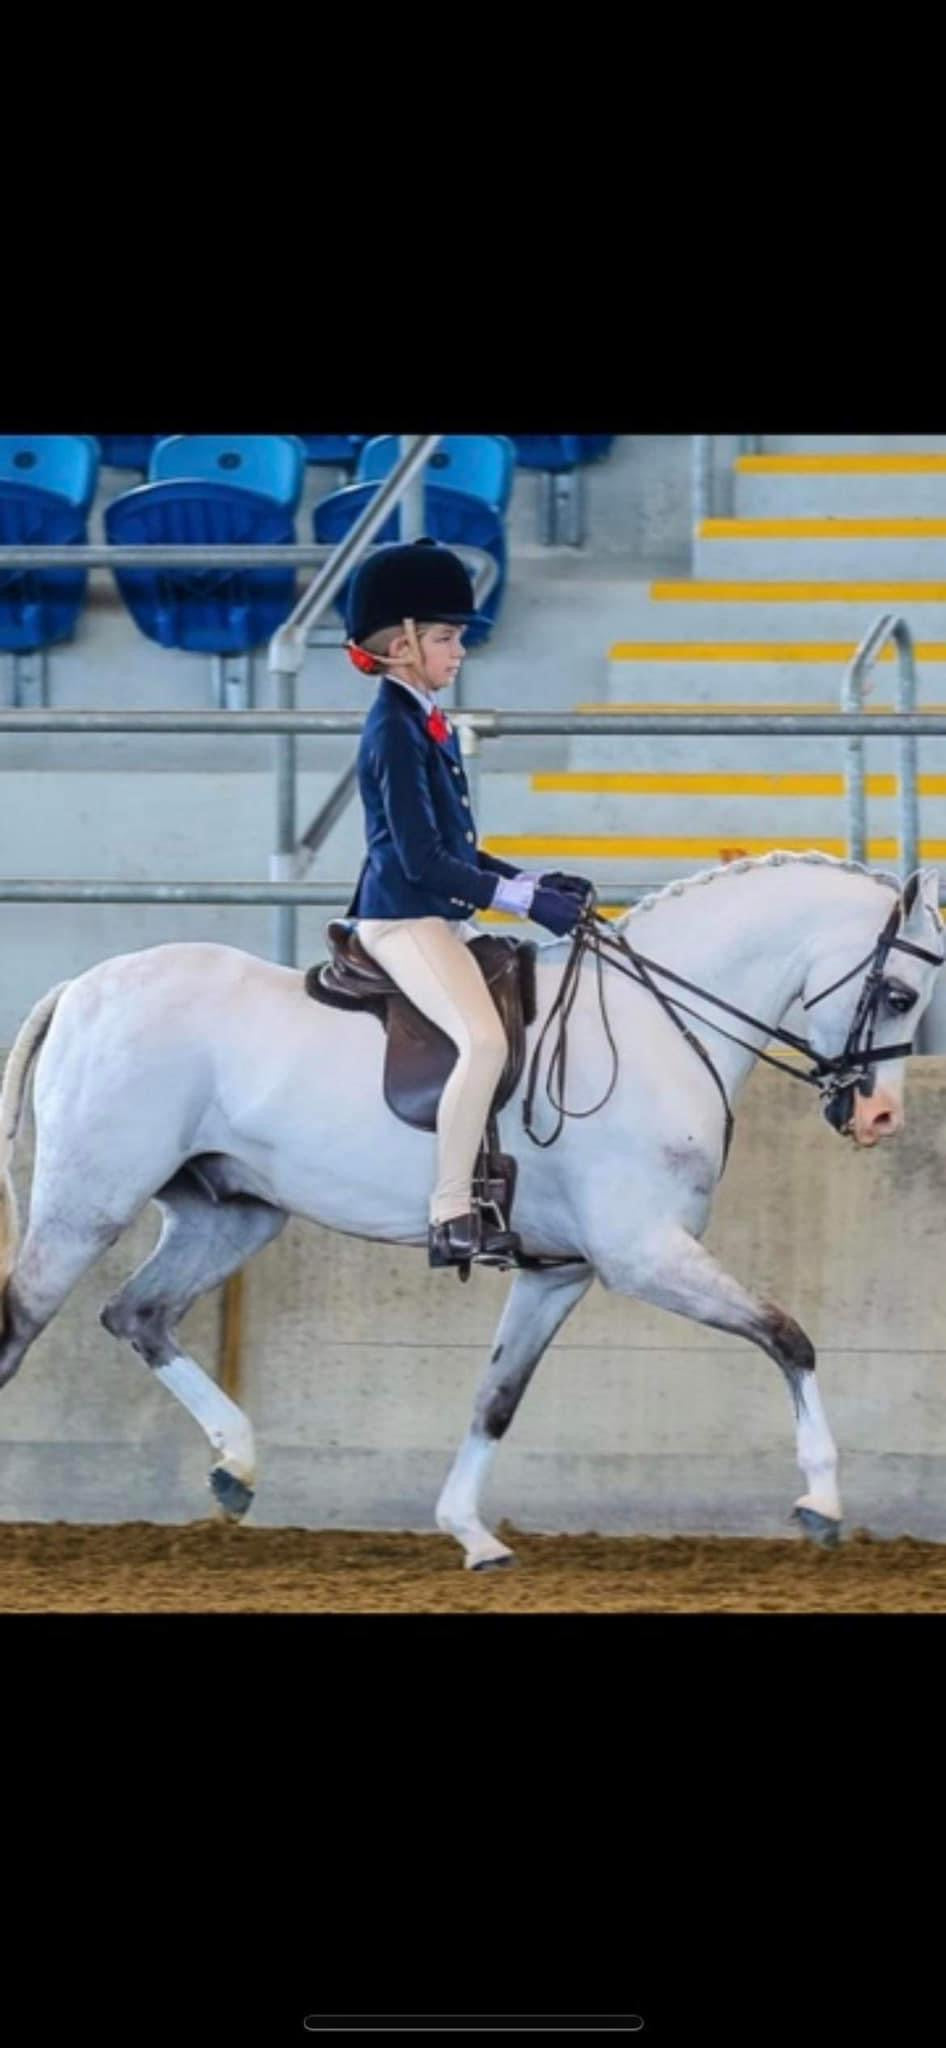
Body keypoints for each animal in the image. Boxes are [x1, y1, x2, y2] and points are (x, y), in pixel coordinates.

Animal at [0, 851, 941, 1564]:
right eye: (899, 996)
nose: (881, 1120)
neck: (656, 1026)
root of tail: (80, 987)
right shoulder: (645, 1254)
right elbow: (788, 1335)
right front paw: (821, 1501)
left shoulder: (560, 1273)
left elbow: (497, 1394)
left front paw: (470, 1533)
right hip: (85, 1205)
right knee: (24, 1324)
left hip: (230, 1213)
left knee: (139, 1314)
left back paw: (238, 1466)